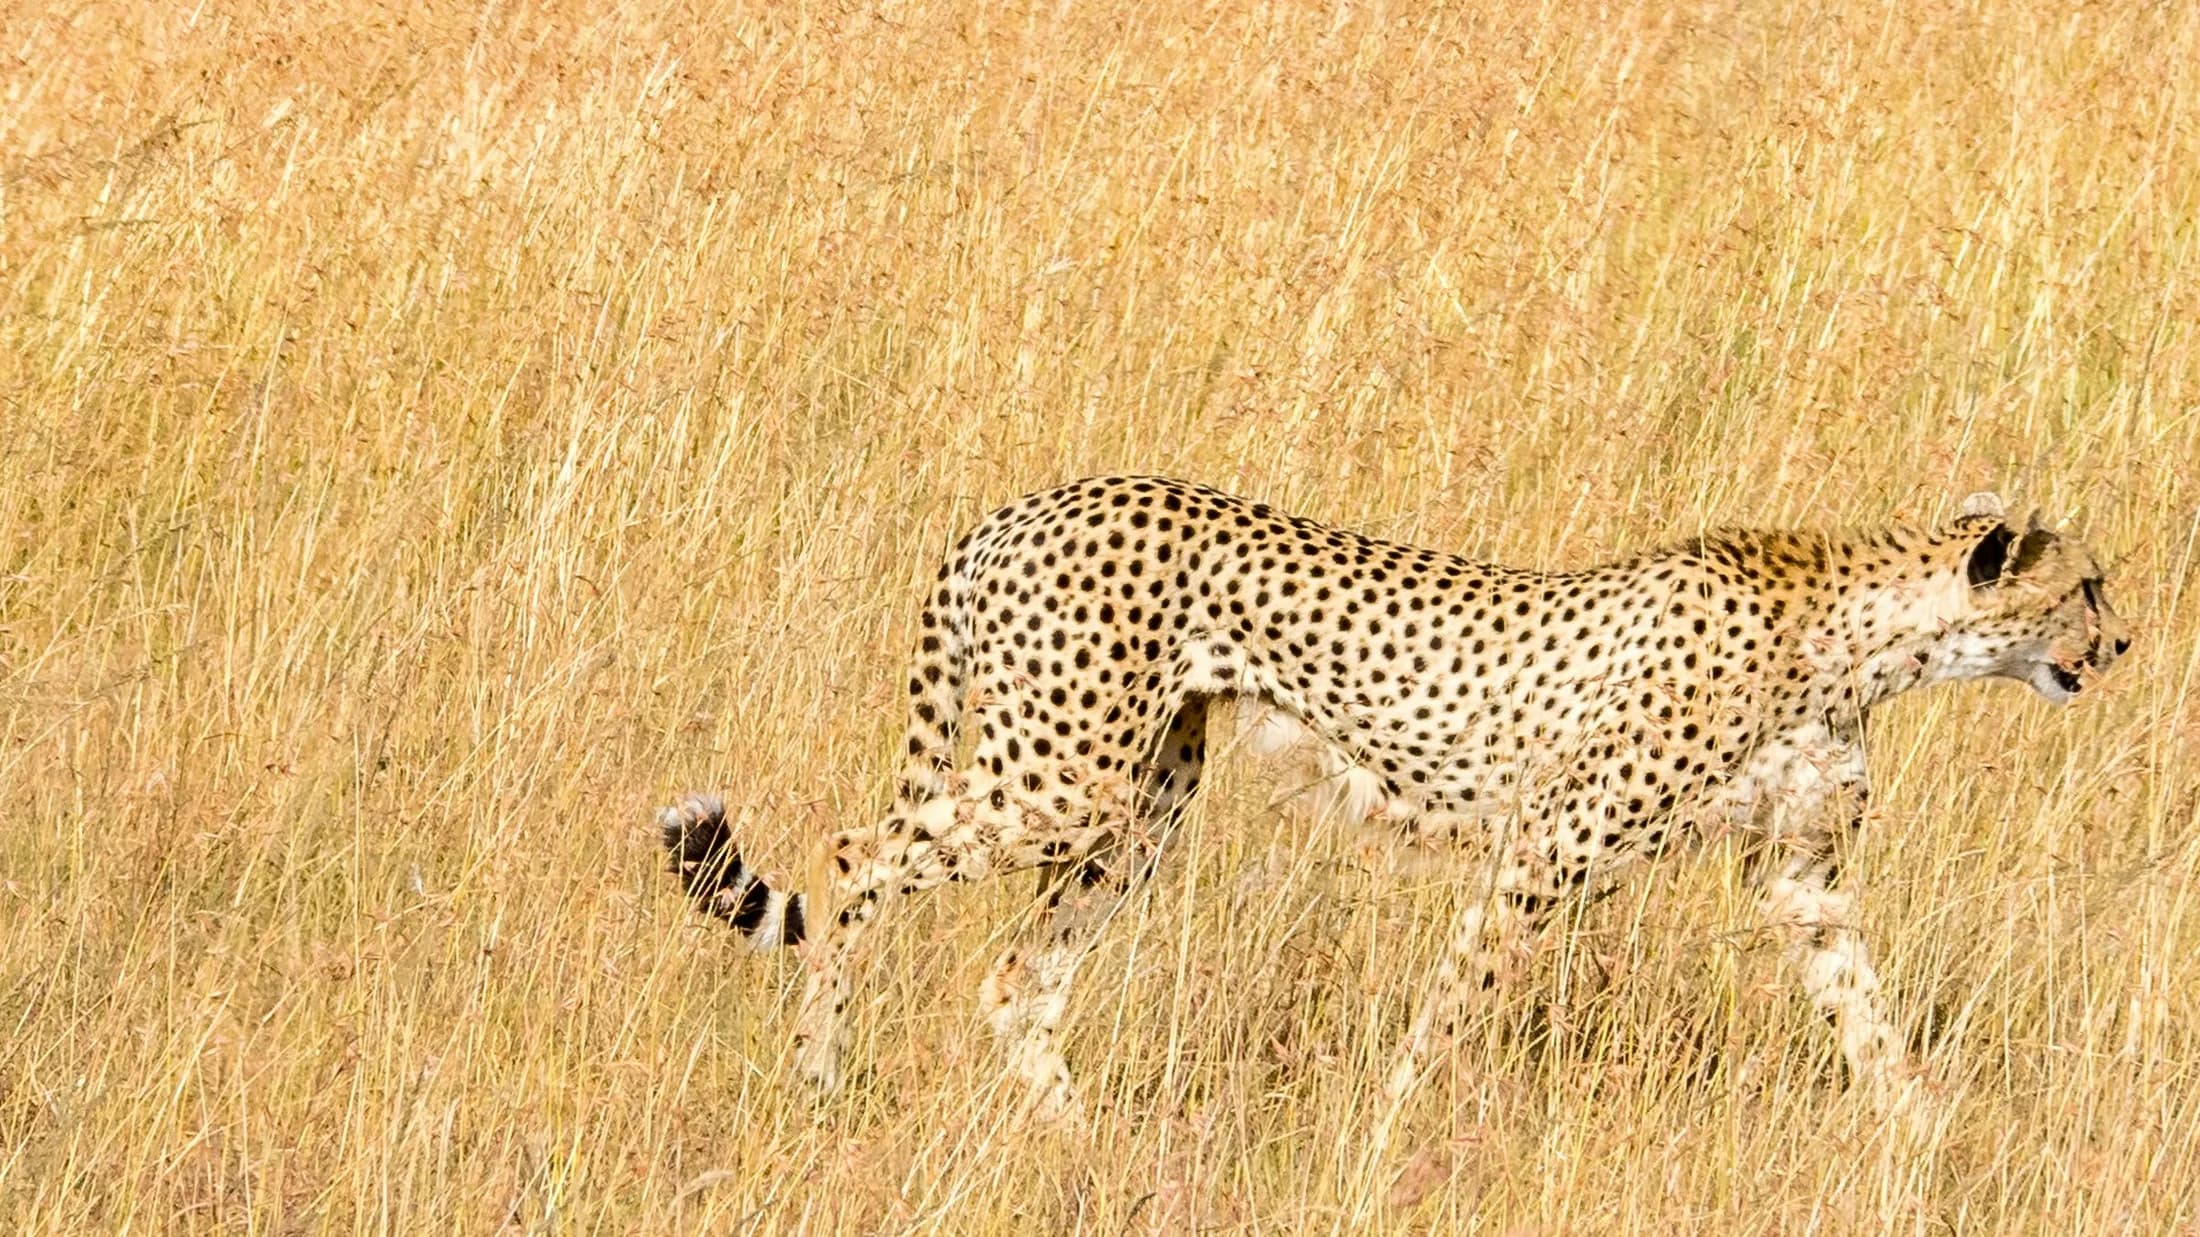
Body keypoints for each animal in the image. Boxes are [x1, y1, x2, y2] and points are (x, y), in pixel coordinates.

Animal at [658, 475, 2130, 1123]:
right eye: (2087, 586)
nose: (2121, 644)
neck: (1864, 631)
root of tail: (1015, 509)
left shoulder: (1800, 878)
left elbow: (1870, 1019)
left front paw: (1923, 1144)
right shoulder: (1549, 848)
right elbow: (1457, 1008)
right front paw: (1392, 1128)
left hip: (1138, 806)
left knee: (1018, 975)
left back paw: (1078, 1146)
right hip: (1061, 781)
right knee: (853, 852)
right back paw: (820, 1075)